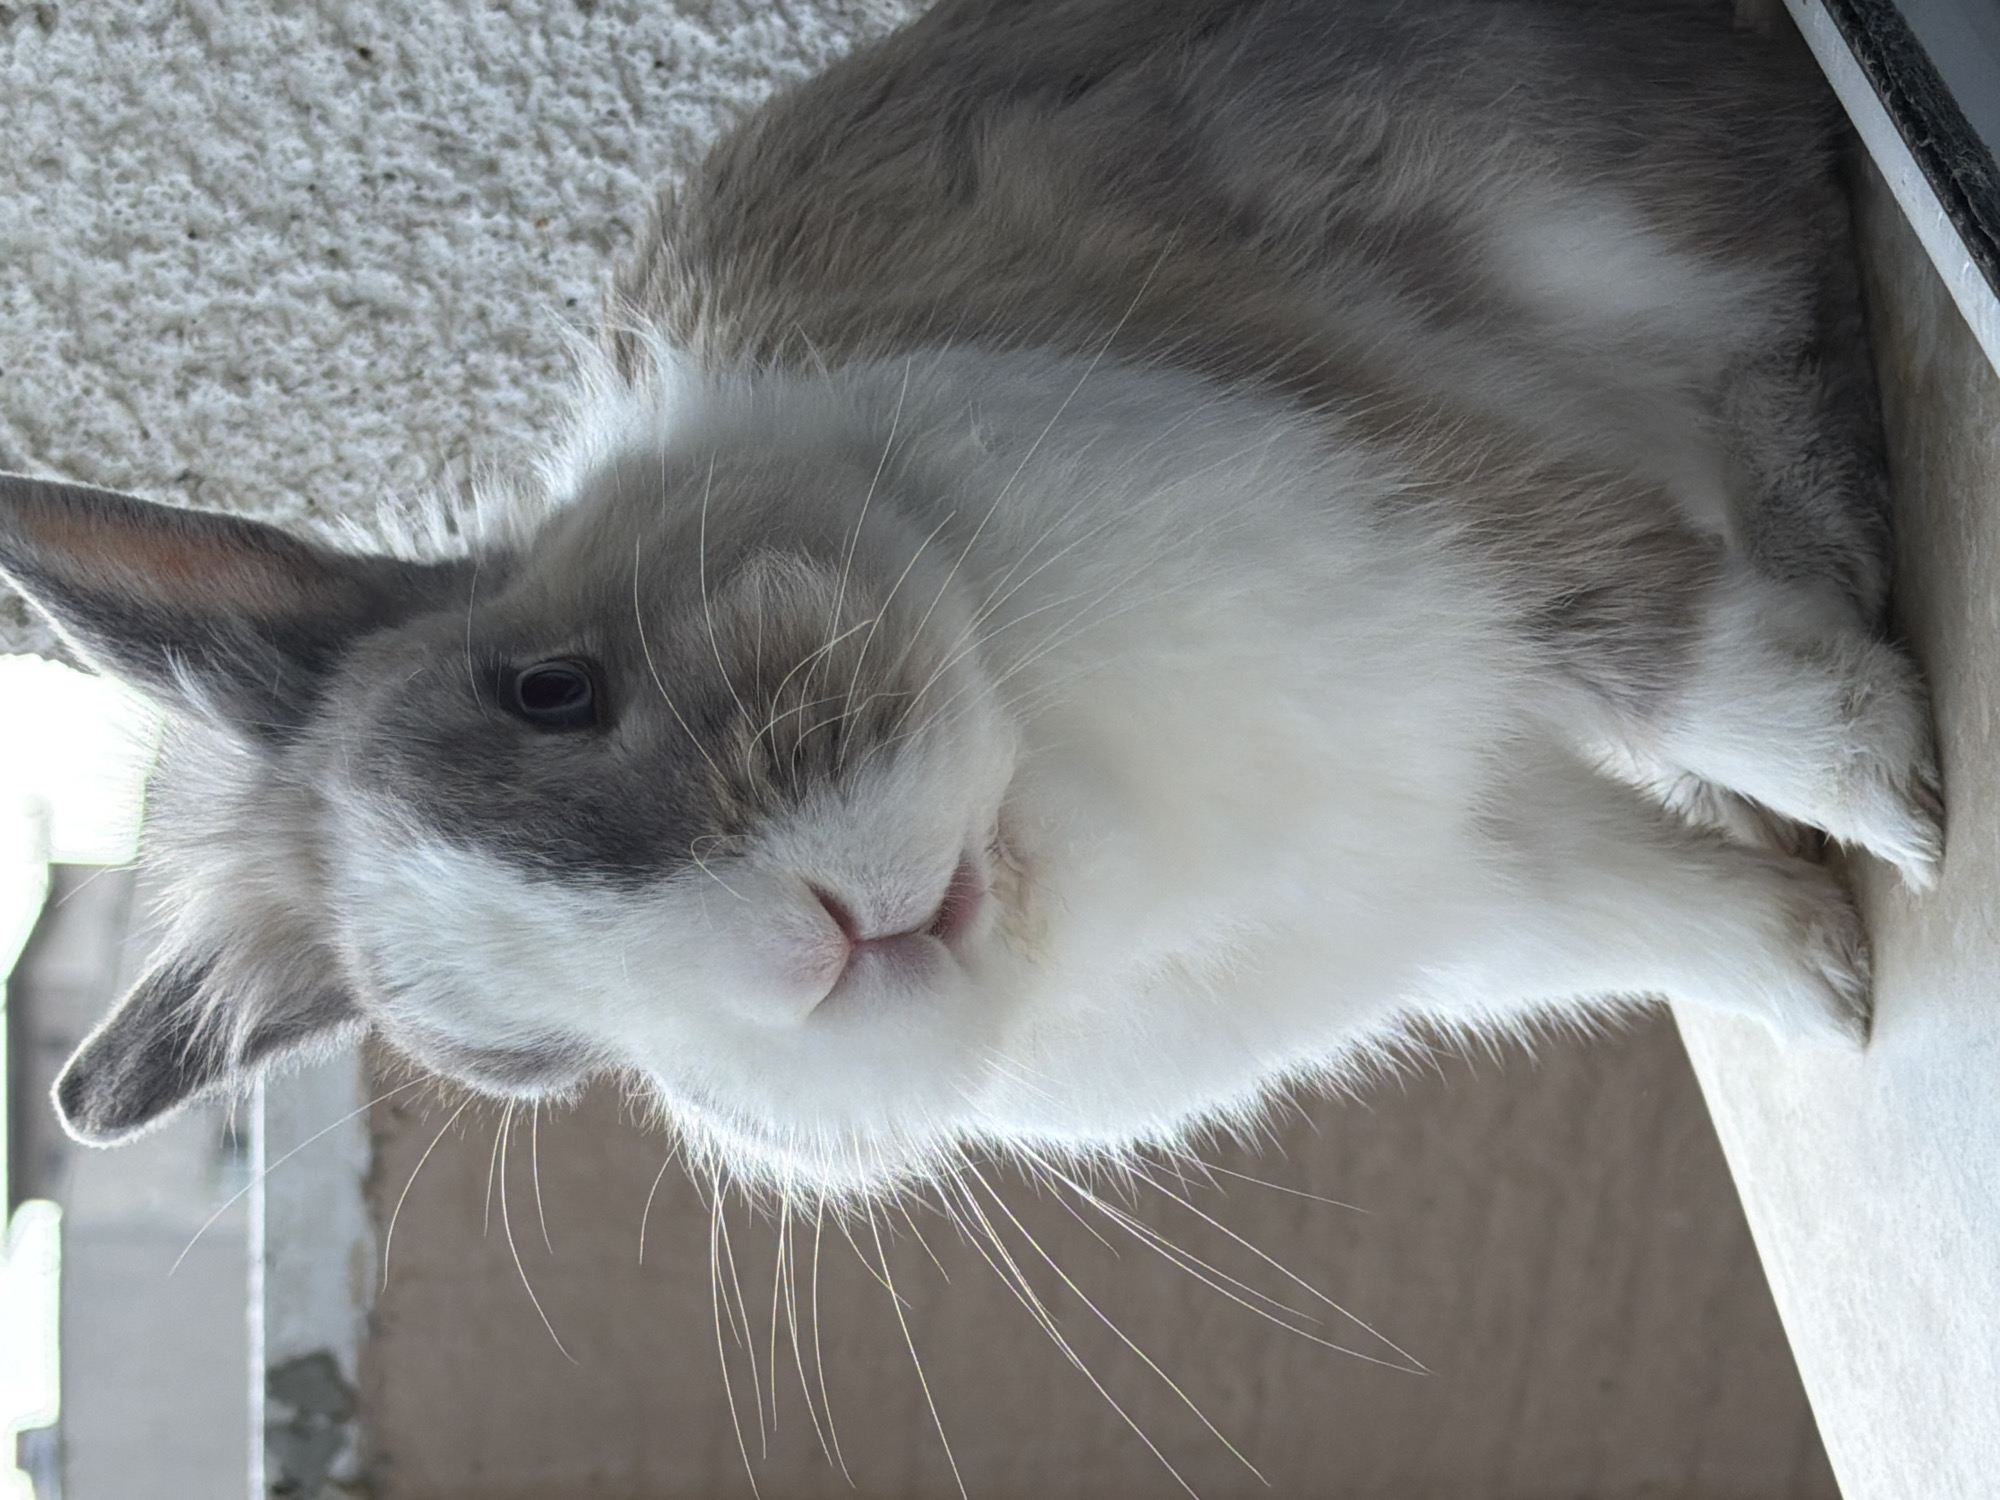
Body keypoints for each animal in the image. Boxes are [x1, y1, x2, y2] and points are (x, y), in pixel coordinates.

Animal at [0, 0, 1941, 1200]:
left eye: (547, 687)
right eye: (519, 1058)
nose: (817, 948)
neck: (1059, 805)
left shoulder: (1430, 493)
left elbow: (1678, 657)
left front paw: (1906, 810)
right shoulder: (1478, 891)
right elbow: (1659, 920)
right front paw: (1836, 993)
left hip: (1613, 218)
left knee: (1781, 308)